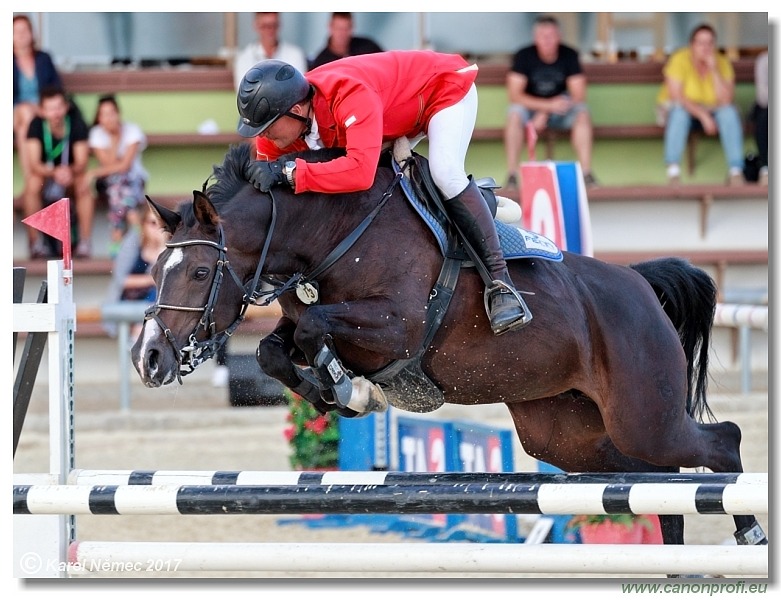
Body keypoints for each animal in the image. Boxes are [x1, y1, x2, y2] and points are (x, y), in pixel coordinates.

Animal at [131, 144, 764, 552]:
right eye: (157, 271)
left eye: (200, 271)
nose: (149, 357)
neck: (333, 232)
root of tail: (640, 285)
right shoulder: (305, 318)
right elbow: (275, 349)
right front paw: (338, 392)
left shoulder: (398, 327)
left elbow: (315, 331)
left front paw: (351, 392)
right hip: (565, 432)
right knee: (652, 482)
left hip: (643, 413)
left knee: (719, 444)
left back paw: (747, 532)